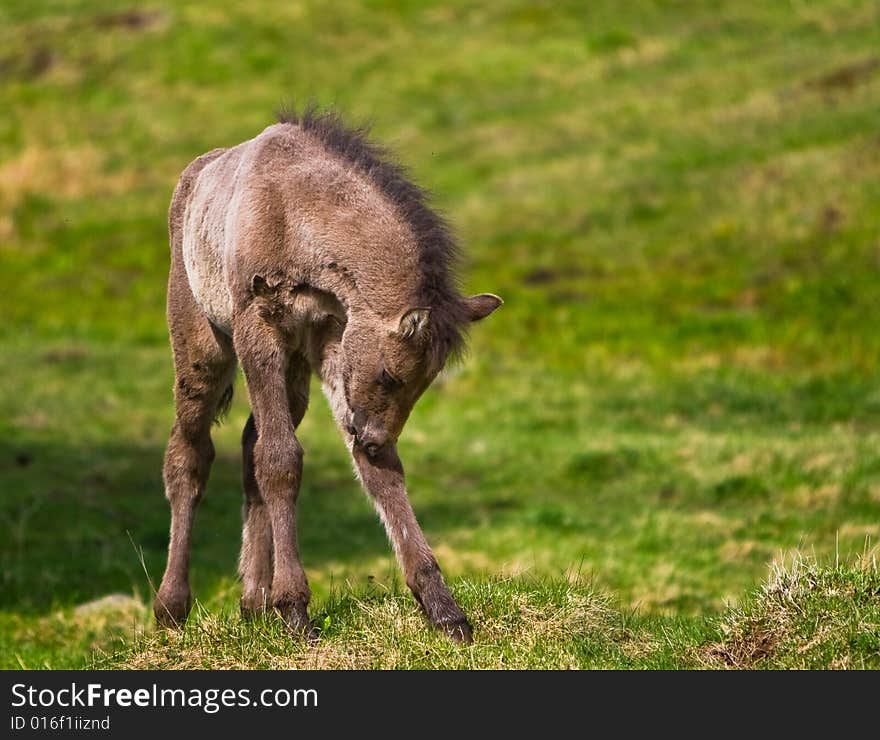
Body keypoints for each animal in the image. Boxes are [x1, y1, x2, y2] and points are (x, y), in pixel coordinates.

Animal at [151, 107, 502, 644]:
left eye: (425, 384)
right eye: (391, 375)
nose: (376, 437)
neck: (294, 216)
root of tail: (191, 180)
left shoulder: (332, 334)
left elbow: (377, 474)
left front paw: (444, 609)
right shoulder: (259, 325)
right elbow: (281, 460)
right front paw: (296, 609)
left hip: (295, 367)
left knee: (250, 442)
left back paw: (253, 603)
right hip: (201, 347)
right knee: (188, 452)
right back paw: (172, 607)